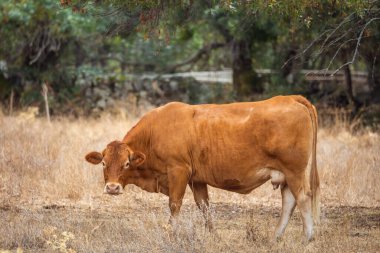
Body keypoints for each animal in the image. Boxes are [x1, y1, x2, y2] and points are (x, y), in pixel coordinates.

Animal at [84, 95, 320, 241]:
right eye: (104, 163)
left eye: (126, 163)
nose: (112, 188)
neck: (154, 133)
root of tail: (290, 98)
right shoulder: (196, 180)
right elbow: (204, 207)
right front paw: (213, 235)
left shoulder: (178, 171)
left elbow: (175, 205)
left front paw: (172, 234)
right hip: (285, 175)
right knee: (289, 202)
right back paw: (275, 237)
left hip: (294, 171)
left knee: (303, 198)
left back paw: (308, 237)